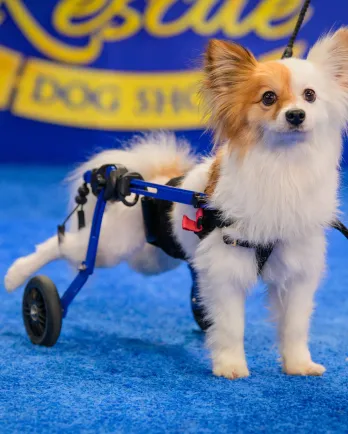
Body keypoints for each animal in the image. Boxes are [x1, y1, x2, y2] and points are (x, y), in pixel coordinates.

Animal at [4, 28, 348, 380]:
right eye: (268, 98)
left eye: (310, 96)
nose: (296, 115)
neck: (285, 167)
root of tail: (144, 180)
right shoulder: (225, 268)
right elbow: (231, 326)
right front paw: (231, 367)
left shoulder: (297, 270)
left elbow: (294, 326)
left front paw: (299, 366)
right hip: (109, 247)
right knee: (63, 247)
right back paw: (20, 280)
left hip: (153, 256)